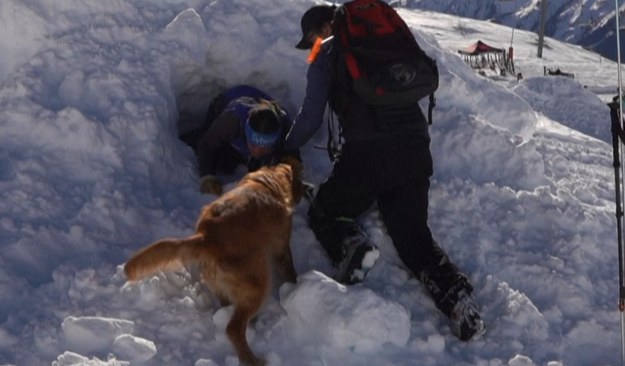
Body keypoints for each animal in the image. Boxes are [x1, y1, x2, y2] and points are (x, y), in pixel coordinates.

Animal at [122, 161, 302, 366]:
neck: (269, 181)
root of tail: (208, 237)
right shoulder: (282, 245)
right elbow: (289, 269)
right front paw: (295, 284)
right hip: (260, 283)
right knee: (234, 329)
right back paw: (253, 359)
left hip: (221, 284)